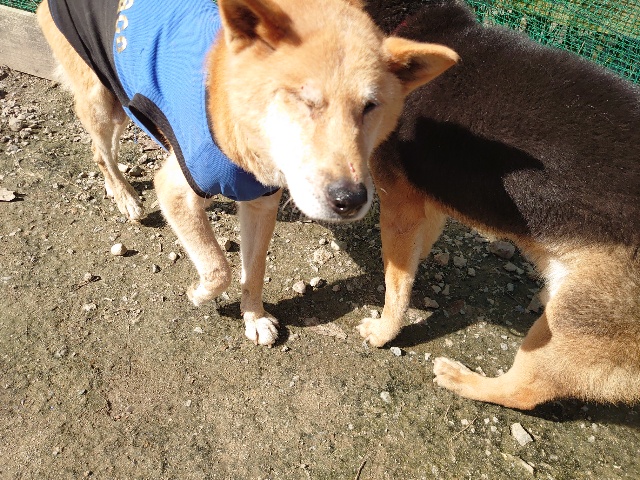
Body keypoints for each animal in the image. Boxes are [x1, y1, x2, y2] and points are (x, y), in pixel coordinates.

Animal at [37, 0, 458, 346]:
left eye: (370, 106)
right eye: (305, 99)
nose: (350, 200)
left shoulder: (261, 203)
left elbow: (253, 270)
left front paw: (254, 317)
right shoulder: (175, 187)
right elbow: (217, 267)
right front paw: (199, 293)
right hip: (103, 99)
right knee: (101, 150)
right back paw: (124, 195)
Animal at [359, 0, 640, 409]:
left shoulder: (398, 202)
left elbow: (397, 283)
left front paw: (383, 331)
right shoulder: (428, 198)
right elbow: (417, 249)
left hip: (571, 320)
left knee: (525, 391)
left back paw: (465, 380)